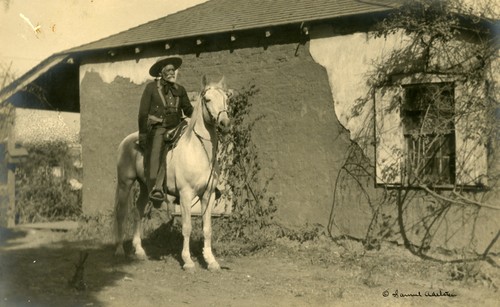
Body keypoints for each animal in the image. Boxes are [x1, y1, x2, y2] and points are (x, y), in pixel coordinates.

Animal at [114, 77, 231, 272]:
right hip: (125, 183)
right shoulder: (185, 195)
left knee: (138, 211)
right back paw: (119, 250)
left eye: (226, 99)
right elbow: (187, 227)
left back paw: (139, 251)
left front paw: (211, 261)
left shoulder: (208, 195)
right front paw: (188, 261)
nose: (225, 124)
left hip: (145, 187)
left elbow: (207, 229)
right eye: (207, 100)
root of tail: (127, 140)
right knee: (121, 213)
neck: (199, 150)